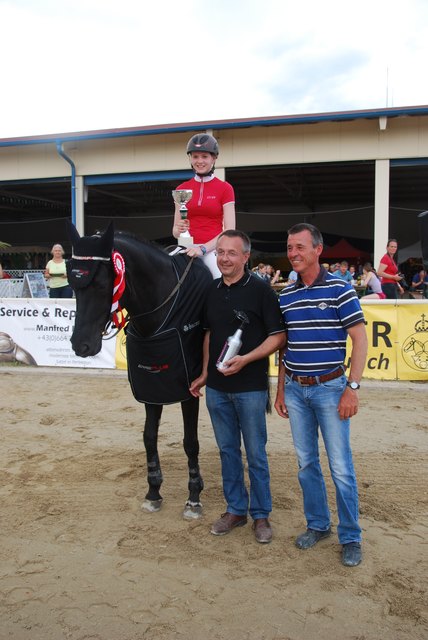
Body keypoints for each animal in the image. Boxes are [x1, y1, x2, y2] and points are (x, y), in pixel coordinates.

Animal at [66, 225, 211, 520]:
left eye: (101, 285)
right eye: (73, 286)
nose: (80, 345)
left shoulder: (189, 389)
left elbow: (190, 442)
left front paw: (193, 497)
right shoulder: (151, 386)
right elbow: (148, 437)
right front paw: (153, 492)